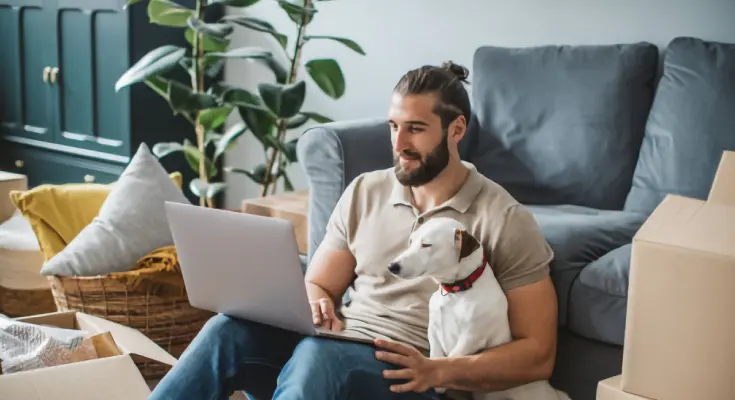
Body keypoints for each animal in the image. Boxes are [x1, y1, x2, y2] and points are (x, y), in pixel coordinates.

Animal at [392, 217, 568, 400]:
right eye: (411, 241)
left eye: (426, 244)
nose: (392, 266)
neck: (457, 291)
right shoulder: (433, 329)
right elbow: (436, 353)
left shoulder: (471, 338)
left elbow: (451, 358)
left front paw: (434, 381)